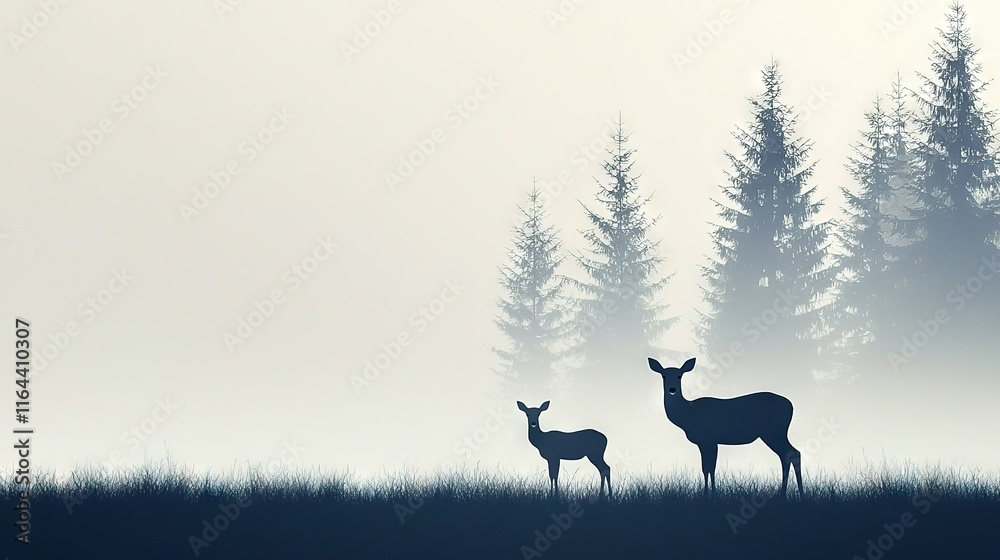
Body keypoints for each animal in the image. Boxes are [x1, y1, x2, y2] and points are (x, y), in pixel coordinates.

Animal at [648, 357, 803, 499]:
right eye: (664, 375)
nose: (672, 389)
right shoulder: (706, 442)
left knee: (792, 453)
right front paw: (708, 495)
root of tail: (791, 405)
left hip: (774, 432)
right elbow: (707, 468)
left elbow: (709, 468)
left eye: (679, 375)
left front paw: (710, 496)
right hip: (776, 433)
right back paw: (788, 494)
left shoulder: (708, 439)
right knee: (788, 454)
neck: (687, 414)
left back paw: (795, 494)